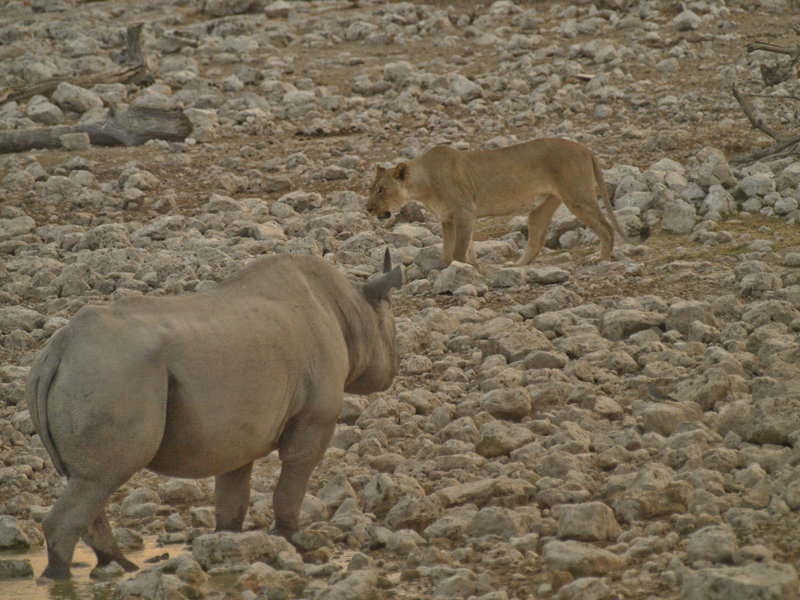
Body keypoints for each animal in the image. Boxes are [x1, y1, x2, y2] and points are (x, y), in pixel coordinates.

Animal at [26, 250, 402, 580]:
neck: (354, 309)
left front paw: (228, 541)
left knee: (88, 482)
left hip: (95, 370)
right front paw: (289, 538)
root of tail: (58, 350)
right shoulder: (315, 417)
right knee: (100, 479)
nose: (396, 367)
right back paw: (60, 578)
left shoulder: (239, 432)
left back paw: (121, 566)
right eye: (393, 333)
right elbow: (294, 474)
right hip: (109, 372)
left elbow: (233, 494)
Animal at [367, 138, 641, 267]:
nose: (368, 208)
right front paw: (468, 268)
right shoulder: (448, 220)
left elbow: (458, 251)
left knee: (606, 227)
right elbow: (449, 253)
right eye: (371, 189)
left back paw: (602, 260)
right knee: (536, 240)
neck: (422, 185)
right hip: (542, 206)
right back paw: (515, 266)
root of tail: (585, 148)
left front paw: (464, 271)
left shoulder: (464, 211)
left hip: (577, 196)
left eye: (381, 190)